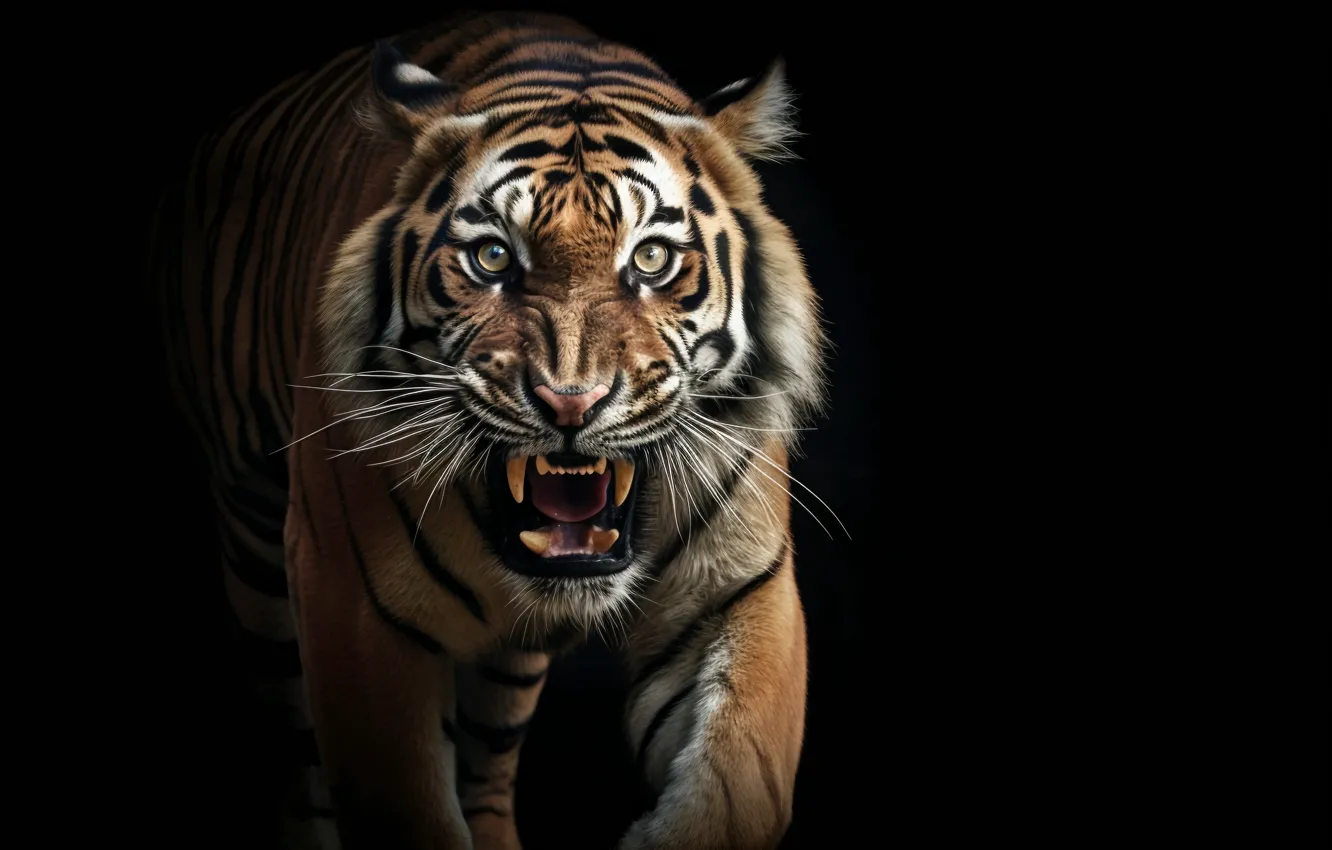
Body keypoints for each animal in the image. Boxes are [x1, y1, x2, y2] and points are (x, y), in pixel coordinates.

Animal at [150, 10, 829, 850]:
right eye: (492, 256)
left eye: (651, 259)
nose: (570, 402)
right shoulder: (351, 603)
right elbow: (402, 801)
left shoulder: (742, 591)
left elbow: (739, 785)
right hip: (254, 545)